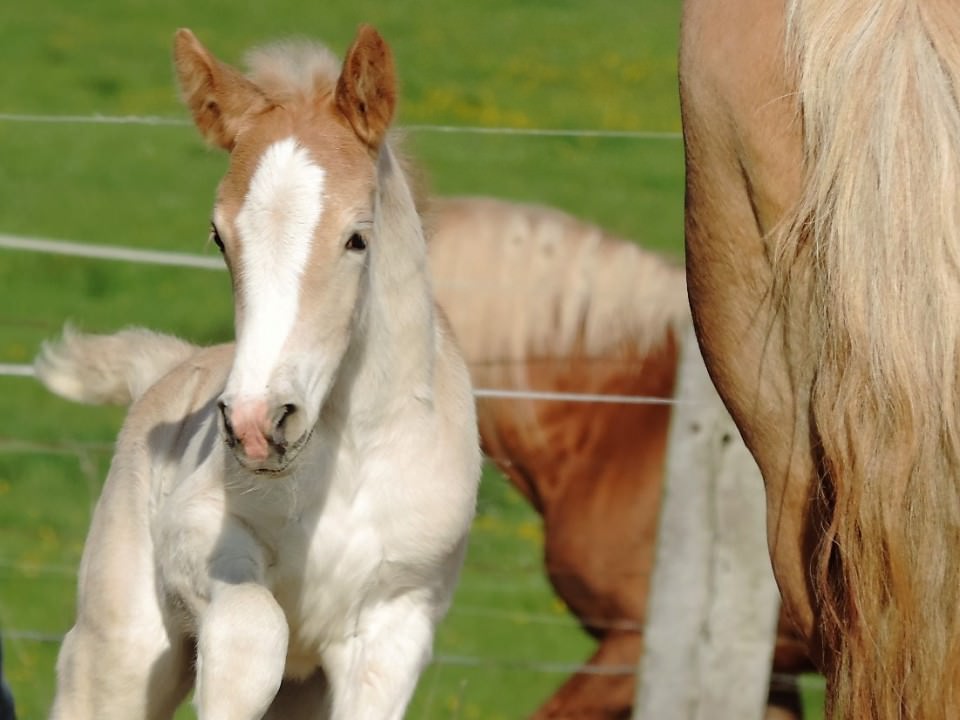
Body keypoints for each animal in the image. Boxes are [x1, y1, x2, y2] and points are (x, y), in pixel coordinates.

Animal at [35, 25, 480, 716]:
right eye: (220, 236)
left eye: (358, 238)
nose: (254, 423)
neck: (348, 458)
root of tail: (173, 365)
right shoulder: (199, 538)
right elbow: (254, 633)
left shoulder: (397, 621)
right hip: (118, 653)